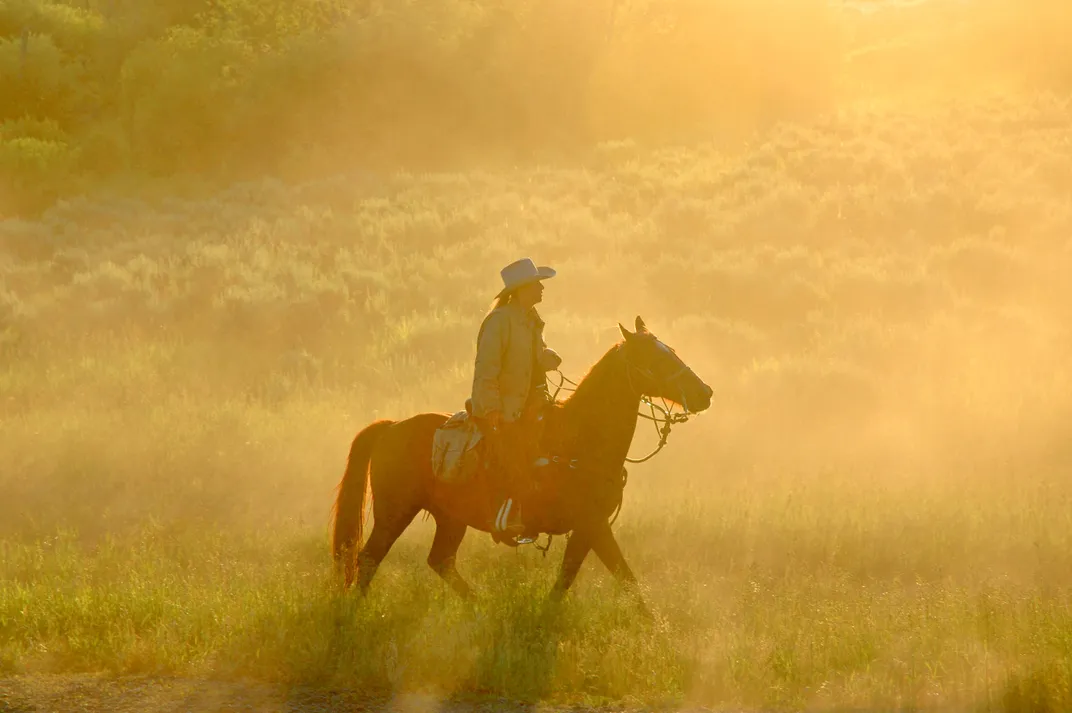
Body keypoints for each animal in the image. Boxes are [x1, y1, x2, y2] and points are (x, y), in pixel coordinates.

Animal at [330, 316, 713, 610]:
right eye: (656, 359)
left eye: (673, 351)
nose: (705, 393)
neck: (580, 438)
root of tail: (391, 427)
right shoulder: (593, 524)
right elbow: (623, 578)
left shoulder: (588, 528)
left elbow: (573, 579)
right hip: (394, 514)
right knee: (368, 559)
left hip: (451, 519)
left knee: (440, 560)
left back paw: (481, 609)